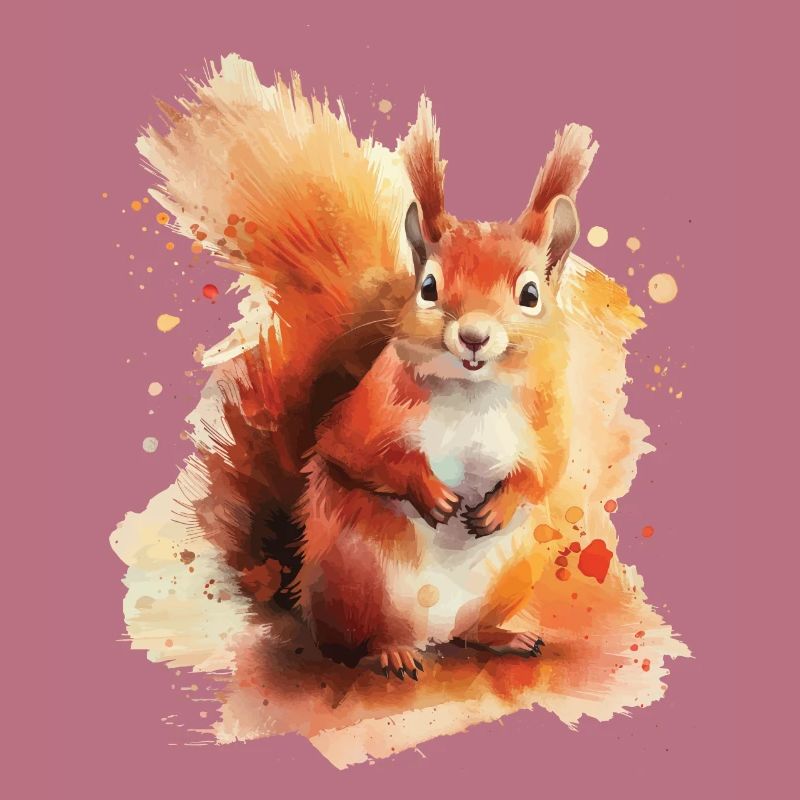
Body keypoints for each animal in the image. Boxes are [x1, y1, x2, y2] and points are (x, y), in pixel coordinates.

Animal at [136, 55, 598, 677]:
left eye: (530, 295)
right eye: (428, 288)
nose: (474, 336)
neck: (473, 391)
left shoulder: (546, 421)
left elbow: (545, 472)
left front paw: (500, 504)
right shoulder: (370, 409)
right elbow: (349, 450)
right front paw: (429, 491)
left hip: (512, 570)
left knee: (468, 631)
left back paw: (503, 635)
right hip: (360, 580)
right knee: (350, 644)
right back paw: (391, 652)